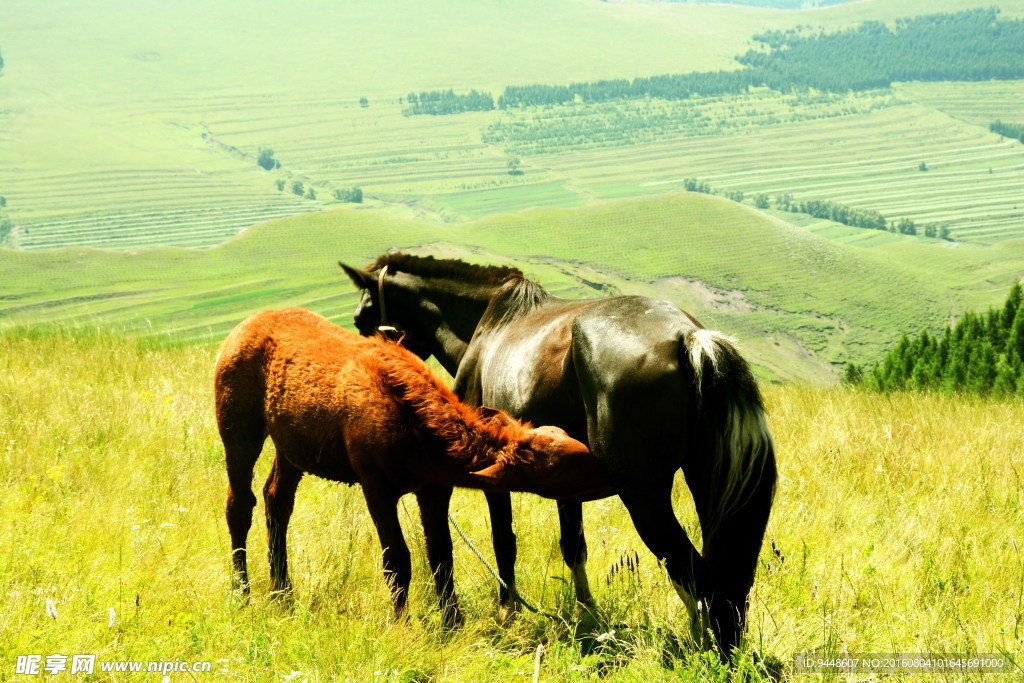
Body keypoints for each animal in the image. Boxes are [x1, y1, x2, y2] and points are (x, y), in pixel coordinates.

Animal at [211, 309, 602, 626]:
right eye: (560, 469)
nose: (606, 474)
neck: (416, 426)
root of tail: (245, 326)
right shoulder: (377, 487)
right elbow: (397, 559)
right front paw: (402, 622)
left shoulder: (434, 488)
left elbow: (442, 554)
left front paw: (452, 621)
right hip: (238, 428)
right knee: (239, 504)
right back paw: (242, 590)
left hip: (290, 447)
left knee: (276, 500)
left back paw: (282, 592)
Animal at [342, 253, 774, 655]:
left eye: (362, 316)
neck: (489, 328)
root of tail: (687, 337)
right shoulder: (568, 486)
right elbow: (573, 547)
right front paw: (587, 615)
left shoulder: (492, 477)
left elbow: (504, 542)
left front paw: (508, 610)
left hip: (643, 496)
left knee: (694, 574)